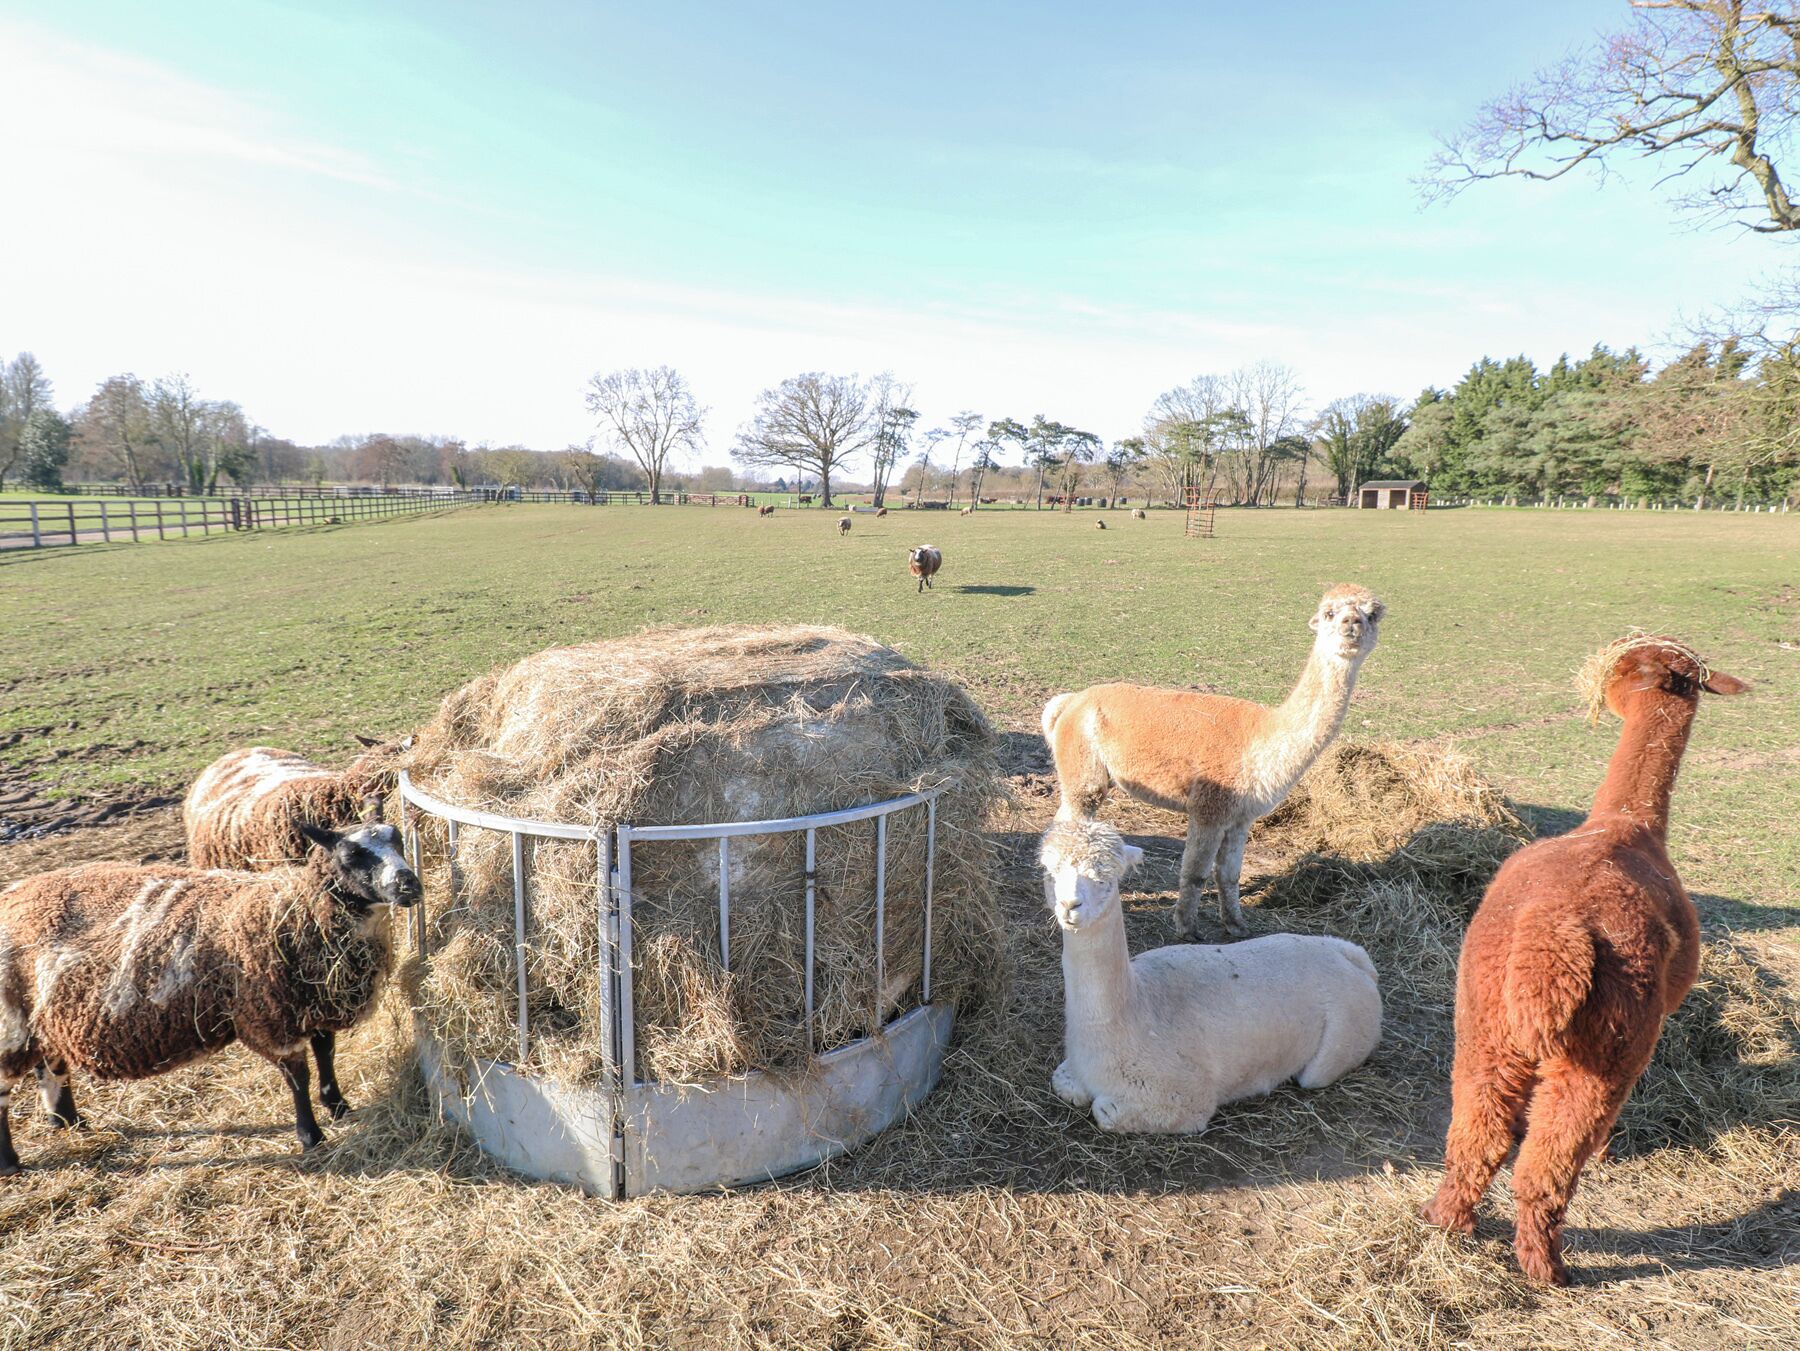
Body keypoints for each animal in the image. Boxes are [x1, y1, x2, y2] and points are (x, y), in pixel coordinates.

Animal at [0, 822, 420, 1172]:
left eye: (398, 839)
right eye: (351, 855)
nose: (410, 885)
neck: (293, 911)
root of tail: (15, 894)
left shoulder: (313, 1001)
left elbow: (326, 1052)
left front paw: (338, 1106)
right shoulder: (269, 1014)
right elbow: (297, 1076)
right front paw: (311, 1136)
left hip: (43, 1016)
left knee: (49, 1065)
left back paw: (67, 1121)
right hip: (10, 1020)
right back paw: (11, 1163)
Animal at [1041, 818, 1380, 1133]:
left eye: (1105, 877)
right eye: (1049, 870)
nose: (1070, 906)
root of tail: (1356, 962)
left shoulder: (1184, 1096)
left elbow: (1104, 1111)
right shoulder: (1071, 1072)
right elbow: (1063, 1082)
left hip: (1343, 1039)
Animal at [1044, 584, 1384, 937]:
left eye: (1373, 613)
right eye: (1329, 612)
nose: (1352, 623)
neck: (1262, 737)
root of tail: (1072, 700)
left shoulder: (1240, 817)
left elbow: (1229, 874)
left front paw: (1236, 925)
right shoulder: (1209, 809)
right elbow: (1195, 872)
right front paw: (1187, 928)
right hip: (1083, 771)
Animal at [1421, 636, 1749, 1285]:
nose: (1600, 687)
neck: (1625, 823)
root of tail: (1553, 933)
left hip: (1484, 1022)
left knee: (1477, 1136)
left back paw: (1447, 1223)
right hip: (1607, 1045)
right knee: (1545, 1164)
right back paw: (1548, 1268)